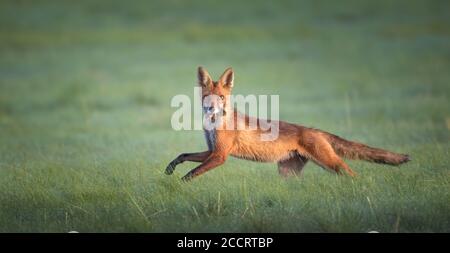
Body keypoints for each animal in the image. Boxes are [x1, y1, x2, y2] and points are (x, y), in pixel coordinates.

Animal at [166, 66, 412, 181]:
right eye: (207, 97)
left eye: (221, 97)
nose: (211, 109)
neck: (215, 125)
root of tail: (314, 130)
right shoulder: (211, 151)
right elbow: (183, 155)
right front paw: (171, 168)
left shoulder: (220, 155)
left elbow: (191, 174)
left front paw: (178, 185)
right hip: (288, 173)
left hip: (331, 163)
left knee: (353, 175)